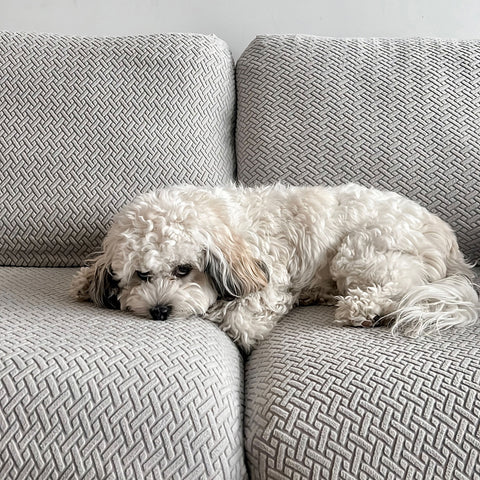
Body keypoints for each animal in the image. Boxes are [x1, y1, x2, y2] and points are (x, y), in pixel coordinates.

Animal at [69, 183, 478, 348]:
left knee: (397, 289)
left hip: (361, 252)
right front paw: (85, 280)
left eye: (184, 269)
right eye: (141, 274)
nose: (159, 310)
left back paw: (361, 309)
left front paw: (228, 317)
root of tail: (451, 247)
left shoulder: (269, 279)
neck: (224, 225)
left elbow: (241, 319)